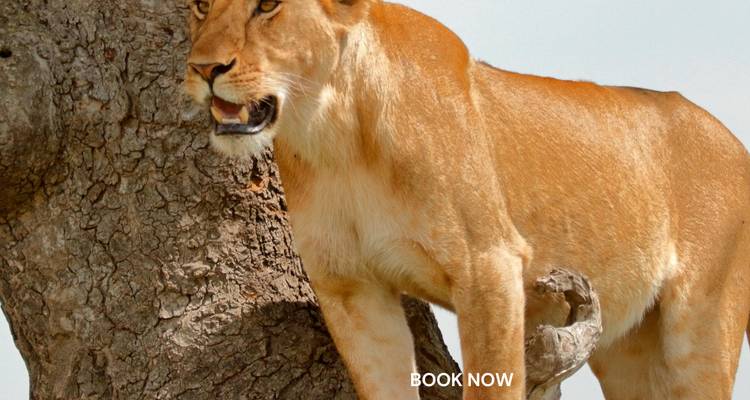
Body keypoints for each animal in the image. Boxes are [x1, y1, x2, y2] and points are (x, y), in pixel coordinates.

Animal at [184, 1, 750, 399]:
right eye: (200, 4)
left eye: (268, 5)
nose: (204, 68)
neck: (333, 134)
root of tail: (731, 137)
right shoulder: (350, 286)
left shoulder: (489, 268)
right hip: (626, 346)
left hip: (701, 327)